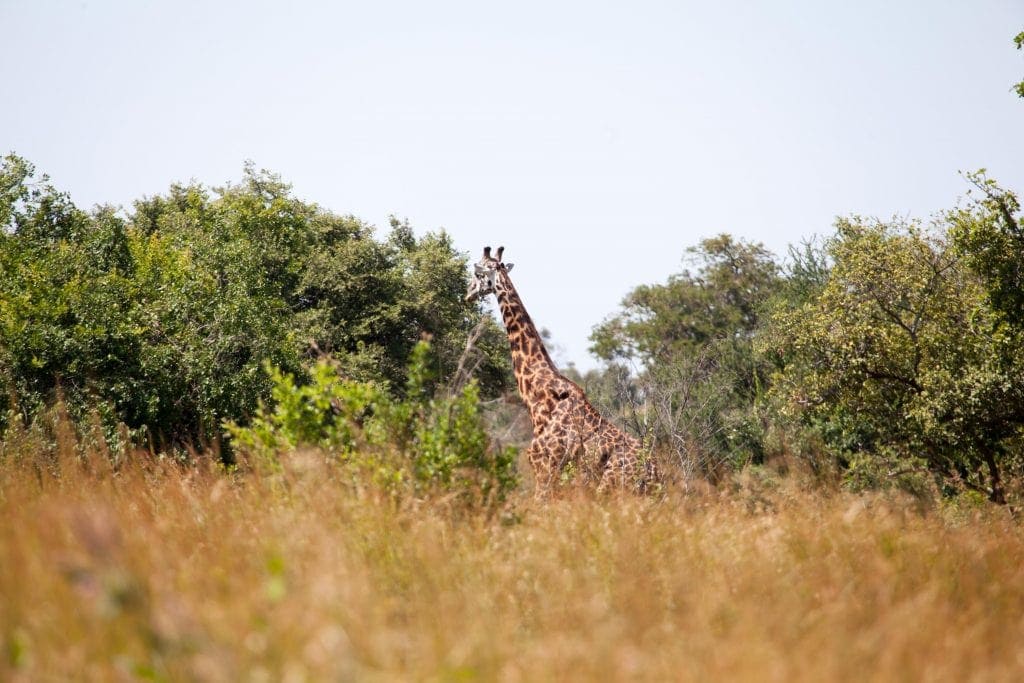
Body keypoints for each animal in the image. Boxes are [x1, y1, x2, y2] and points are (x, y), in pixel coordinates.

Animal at [464, 245, 655, 497]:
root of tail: (655, 473)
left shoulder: (543, 464)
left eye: (477, 273)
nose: (467, 294)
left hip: (611, 486)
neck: (535, 393)